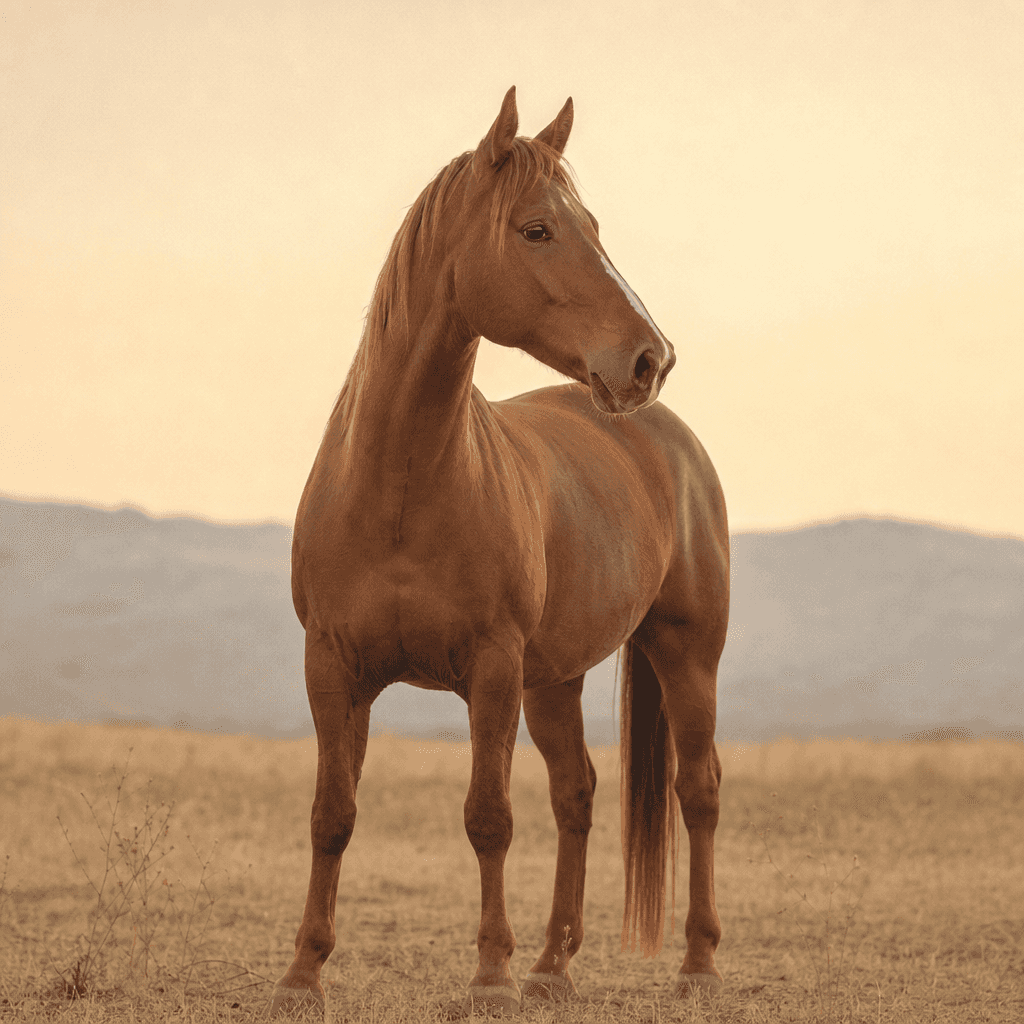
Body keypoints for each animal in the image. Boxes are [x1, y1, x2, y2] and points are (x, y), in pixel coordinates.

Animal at [269, 86, 729, 1017]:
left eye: (592, 224)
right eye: (536, 229)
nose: (649, 359)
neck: (402, 483)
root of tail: (668, 438)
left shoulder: (490, 669)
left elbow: (488, 816)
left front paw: (489, 975)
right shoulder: (332, 667)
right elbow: (332, 814)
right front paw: (303, 975)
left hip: (684, 654)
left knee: (696, 792)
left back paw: (697, 963)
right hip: (554, 682)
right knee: (577, 794)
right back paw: (554, 965)